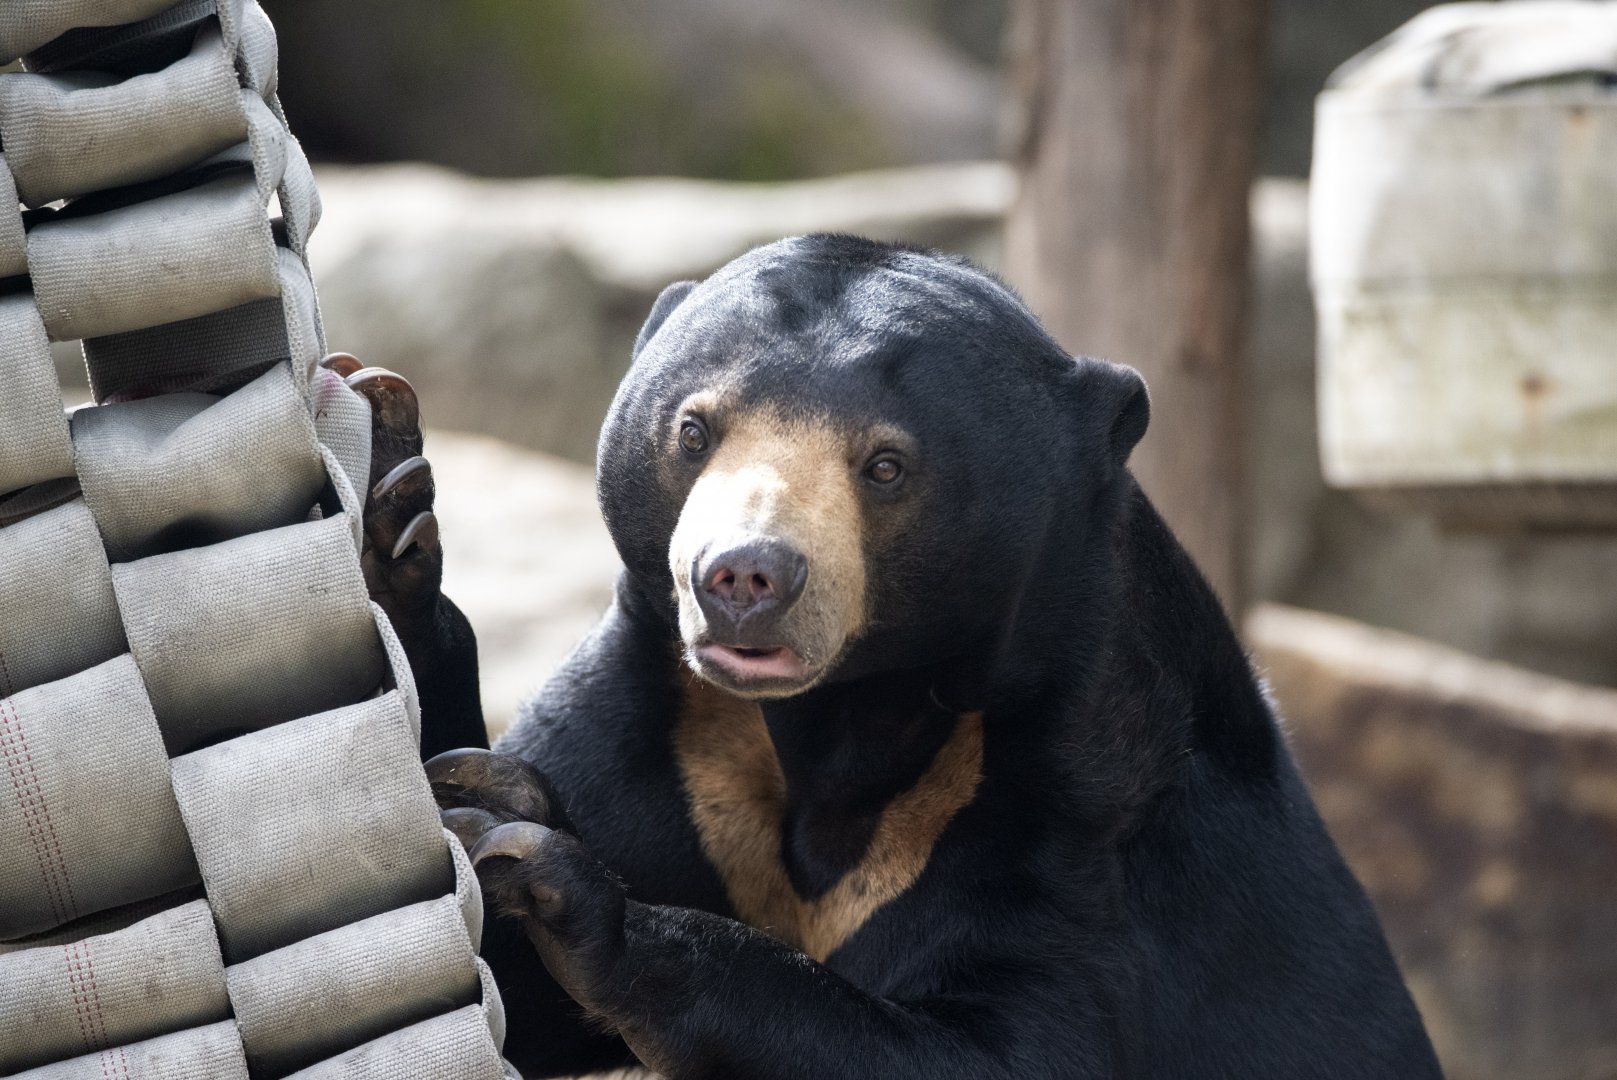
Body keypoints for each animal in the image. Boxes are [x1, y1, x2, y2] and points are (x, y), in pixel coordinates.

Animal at [348, 234, 1443, 1079]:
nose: (743, 575)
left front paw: (562, 883)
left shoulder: (1081, 791)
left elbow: (1009, 1043)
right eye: (694, 430)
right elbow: (487, 1001)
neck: (838, 712)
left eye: (885, 465)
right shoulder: (663, 723)